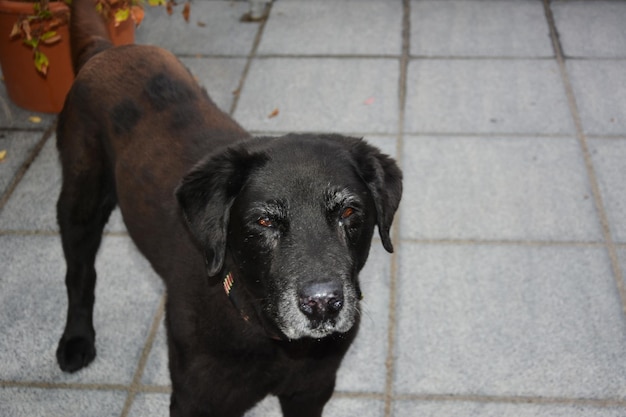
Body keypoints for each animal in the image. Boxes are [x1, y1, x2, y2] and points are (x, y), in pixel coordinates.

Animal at [54, 1, 400, 414]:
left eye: (348, 213)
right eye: (264, 221)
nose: (323, 305)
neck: (268, 334)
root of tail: (106, 49)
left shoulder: (311, 389)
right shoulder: (195, 399)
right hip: (80, 201)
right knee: (79, 273)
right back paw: (76, 339)